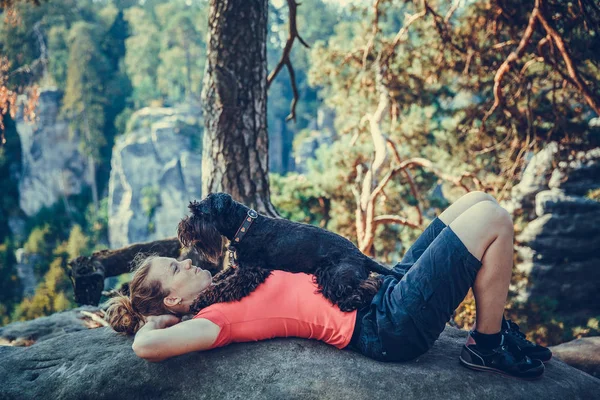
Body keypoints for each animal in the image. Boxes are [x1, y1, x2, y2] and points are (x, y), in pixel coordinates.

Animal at [178, 192, 404, 310]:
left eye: (199, 212)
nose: (182, 228)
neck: (246, 226)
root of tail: (361, 255)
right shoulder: (238, 268)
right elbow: (220, 276)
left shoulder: (250, 272)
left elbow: (221, 287)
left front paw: (200, 300)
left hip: (333, 276)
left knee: (369, 285)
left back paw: (355, 299)